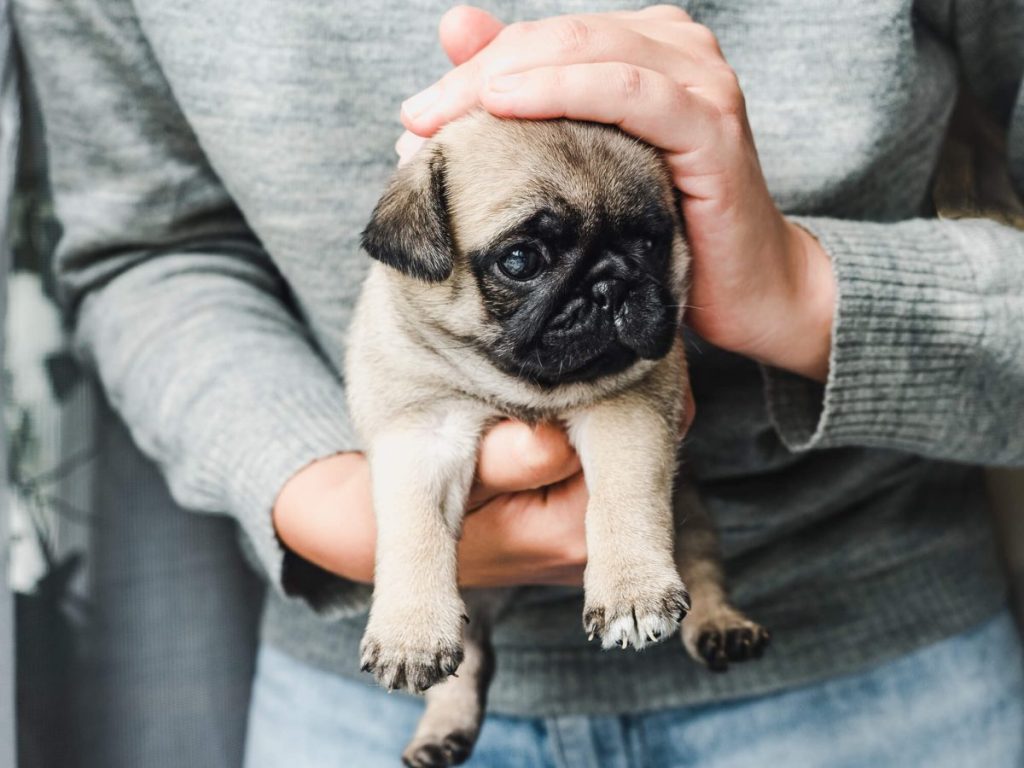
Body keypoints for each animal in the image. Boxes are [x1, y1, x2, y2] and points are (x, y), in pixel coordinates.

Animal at [346, 114, 770, 768]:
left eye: (651, 242)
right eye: (521, 260)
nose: (610, 284)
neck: (522, 385)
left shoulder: (626, 407)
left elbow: (621, 498)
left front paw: (630, 592)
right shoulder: (420, 430)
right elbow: (414, 531)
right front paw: (409, 631)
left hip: (691, 508)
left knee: (701, 567)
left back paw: (720, 626)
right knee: (472, 659)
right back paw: (441, 732)